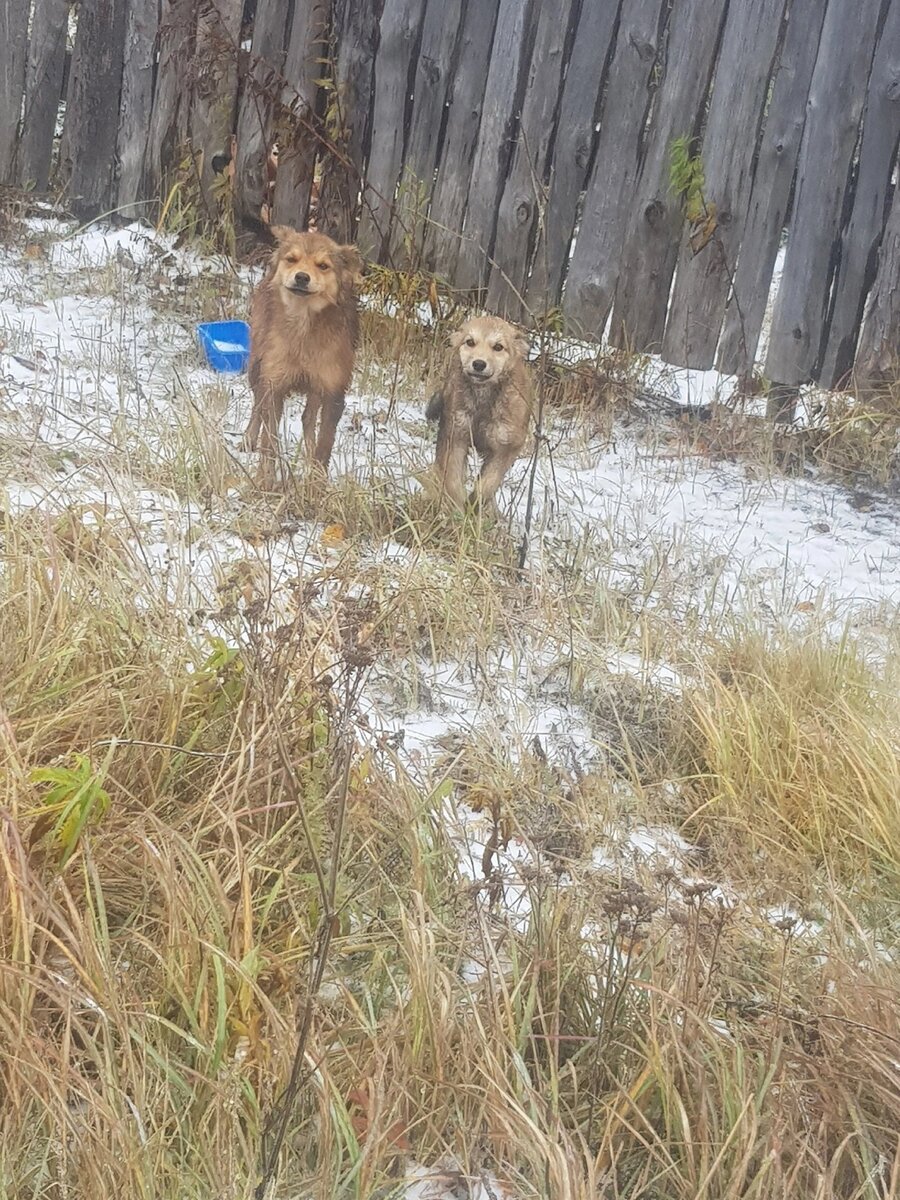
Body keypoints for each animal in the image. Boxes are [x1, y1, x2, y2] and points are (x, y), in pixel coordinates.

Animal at [243, 226, 363, 485]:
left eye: (323, 266)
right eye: (291, 259)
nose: (301, 277)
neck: (304, 326)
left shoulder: (333, 391)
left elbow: (325, 442)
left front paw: (317, 480)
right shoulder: (274, 383)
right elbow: (269, 438)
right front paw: (265, 477)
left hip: (315, 389)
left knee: (308, 419)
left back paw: (307, 457)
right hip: (256, 368)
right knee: (257, 406)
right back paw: (248, 438)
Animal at [426, 316, 531, 511]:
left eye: (498, 347)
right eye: (470, 342)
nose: (479, 364)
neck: (484, 398)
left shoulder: (507, 446)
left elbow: (488, 483)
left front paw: (475, 505)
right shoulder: (455, 435)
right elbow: (452, 479)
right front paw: (458, 509)